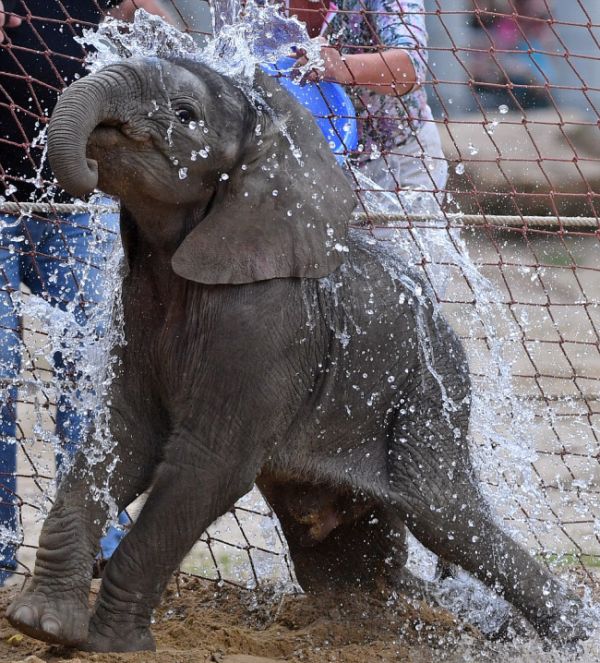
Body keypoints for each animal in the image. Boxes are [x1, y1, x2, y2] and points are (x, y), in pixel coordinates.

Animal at [5, 54, 592, 652]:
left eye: (185, 114)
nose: (83, 165)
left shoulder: (265, 323)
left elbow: (207, 464)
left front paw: (113, 647)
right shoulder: (137, 305)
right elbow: (124, 437)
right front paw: (41, 625)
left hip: (432, 389)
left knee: (443, 515)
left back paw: (573, 633)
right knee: (345, 564)